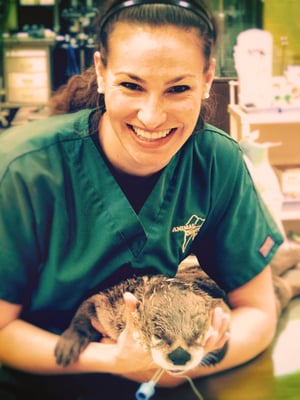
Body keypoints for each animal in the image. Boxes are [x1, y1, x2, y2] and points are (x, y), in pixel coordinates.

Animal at [54, 255, 300, 374]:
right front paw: (68, 344)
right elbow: (84, 312)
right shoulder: (106, 303)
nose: (180, 356)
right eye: (157, 334)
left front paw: (218, 351)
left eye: (199, 334)